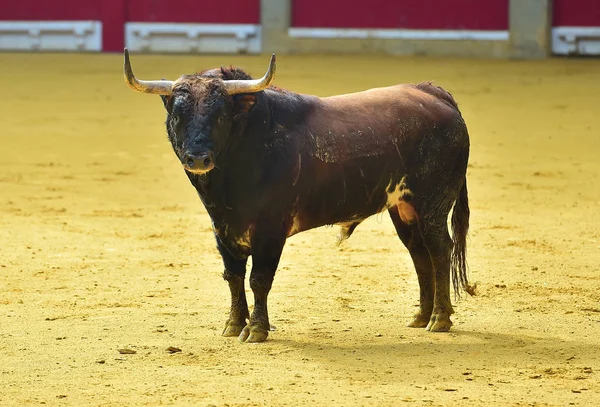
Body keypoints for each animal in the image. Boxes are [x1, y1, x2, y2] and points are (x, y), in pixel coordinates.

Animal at [122, 48, 468, 344]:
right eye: (178, 116)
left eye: (220, 116)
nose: (197, 158)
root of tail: (436, 93)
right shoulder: (222, 227)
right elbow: (233, 276)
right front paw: (233, 325)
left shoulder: (270, 230)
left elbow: (259, 278)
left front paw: (256, 330)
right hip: (404, 208)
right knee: (419, 253)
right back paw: (421, 316)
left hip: (432, 204)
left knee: (439, 249)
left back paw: (439, 319)